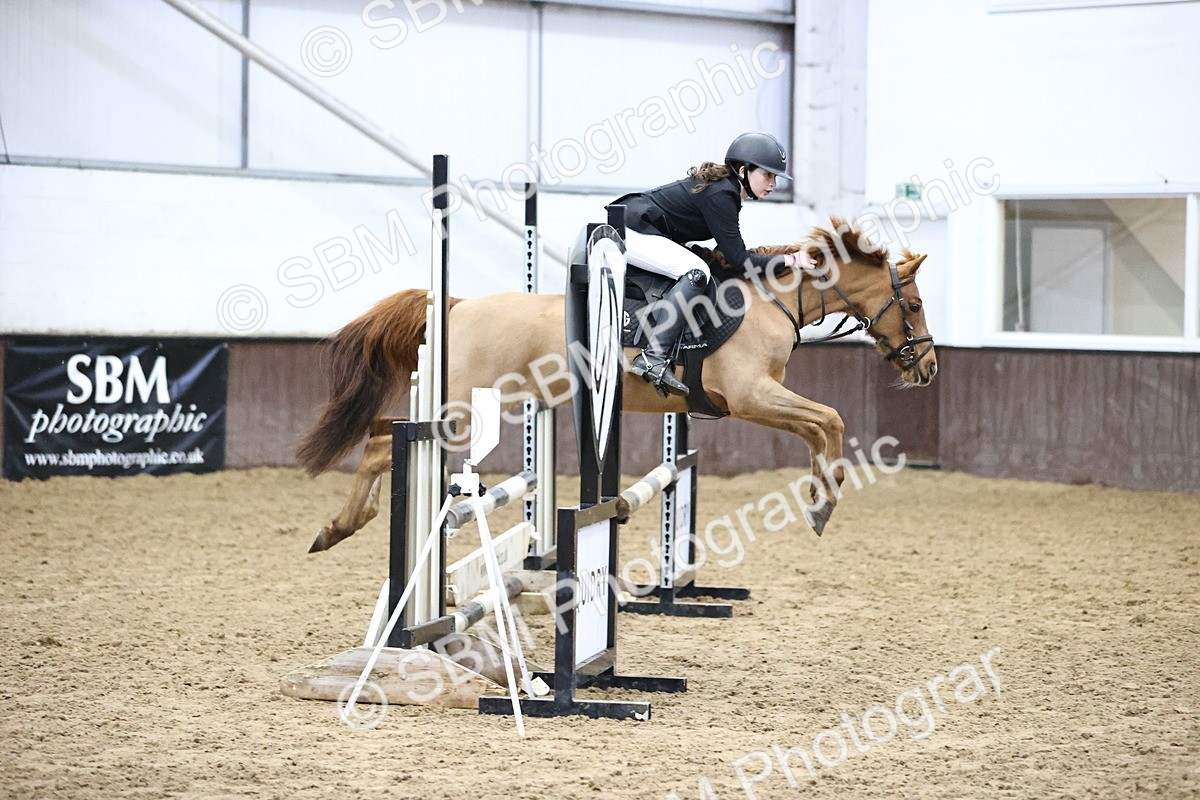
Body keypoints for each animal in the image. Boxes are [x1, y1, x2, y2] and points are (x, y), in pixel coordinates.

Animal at [295, 217, 937, 553]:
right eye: (915, 305)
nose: (927, 368)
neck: (770, 302)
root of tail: (457, 305)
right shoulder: (750, 397)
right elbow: (830, 419)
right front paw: (823, 500)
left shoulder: (759, 400)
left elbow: (821, 426)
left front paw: (820, 496)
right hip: (461, 409)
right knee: (384, 442)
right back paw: (336, 529)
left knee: (384, 433)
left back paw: (343, 526)